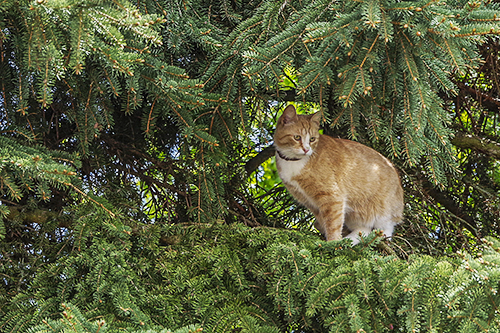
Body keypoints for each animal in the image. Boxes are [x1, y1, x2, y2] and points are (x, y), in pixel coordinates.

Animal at [274, 105, 402, 245]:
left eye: (312, 139)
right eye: (297, 137)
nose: (306, 149)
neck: (293, 161)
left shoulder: (332, 197)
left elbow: (333, 224)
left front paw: (332, 243)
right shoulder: (311, 203)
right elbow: (326, 223)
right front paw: (333, 242)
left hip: (383, 212)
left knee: (385, 229)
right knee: (364, 229)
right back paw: (348, 242)